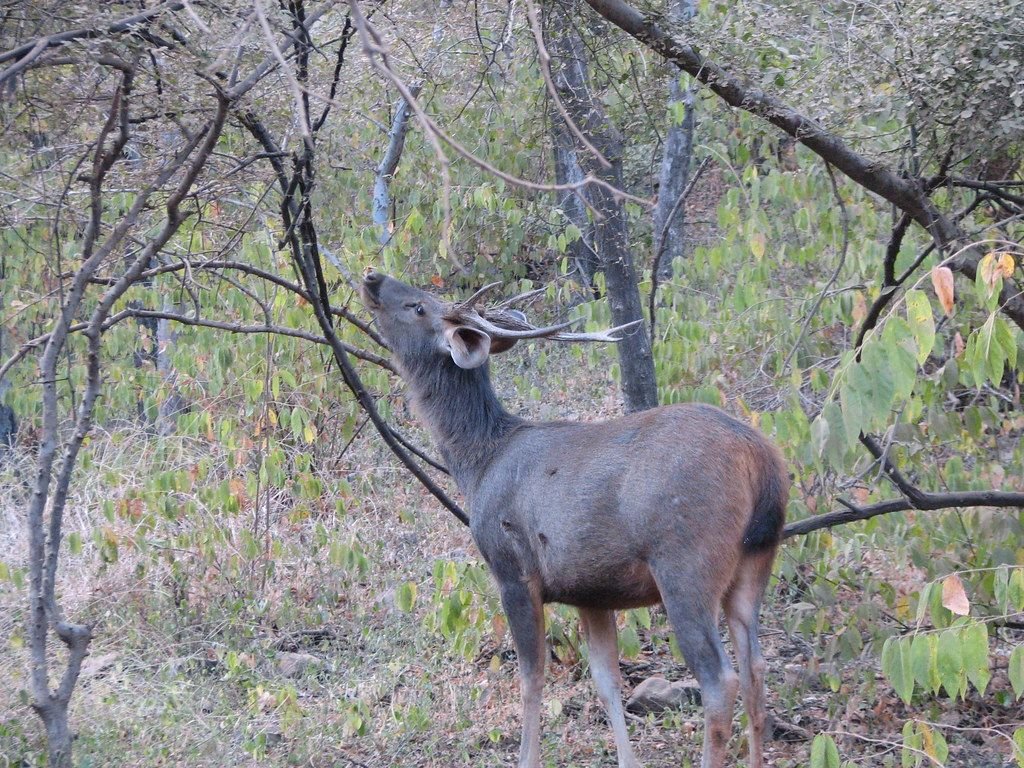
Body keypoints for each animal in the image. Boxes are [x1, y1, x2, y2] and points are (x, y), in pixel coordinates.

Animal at [360, 271, 788, 768]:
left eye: (418, 307)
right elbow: (607, 683)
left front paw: (527, 758)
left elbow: (532, 678)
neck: (477, 464)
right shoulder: (592, 591)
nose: (373, 277)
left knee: (721, 680)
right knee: (756, 666)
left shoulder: (513, 570)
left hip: (686, 563)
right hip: (756, 559)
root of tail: (762, 460)